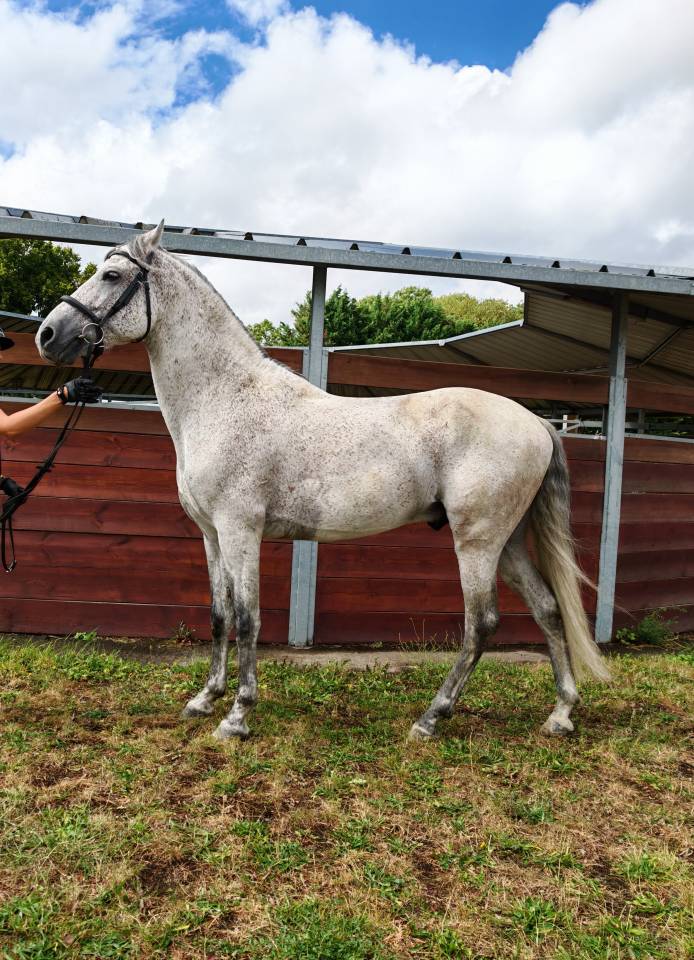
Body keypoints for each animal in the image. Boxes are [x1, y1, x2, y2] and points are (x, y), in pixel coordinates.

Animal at [36, 223, 611, 741]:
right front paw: (204, 700)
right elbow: (220, 615)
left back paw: (431, 718)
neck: (224, 398)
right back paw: (560, 714)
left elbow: (248, 618)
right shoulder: (212, 534)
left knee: (481, 624)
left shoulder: (241, 530)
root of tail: (534, 422)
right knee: (547, 608)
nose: (47, 335)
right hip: (506, 541)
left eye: (112, 275)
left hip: (478, 542)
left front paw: (237, 717)